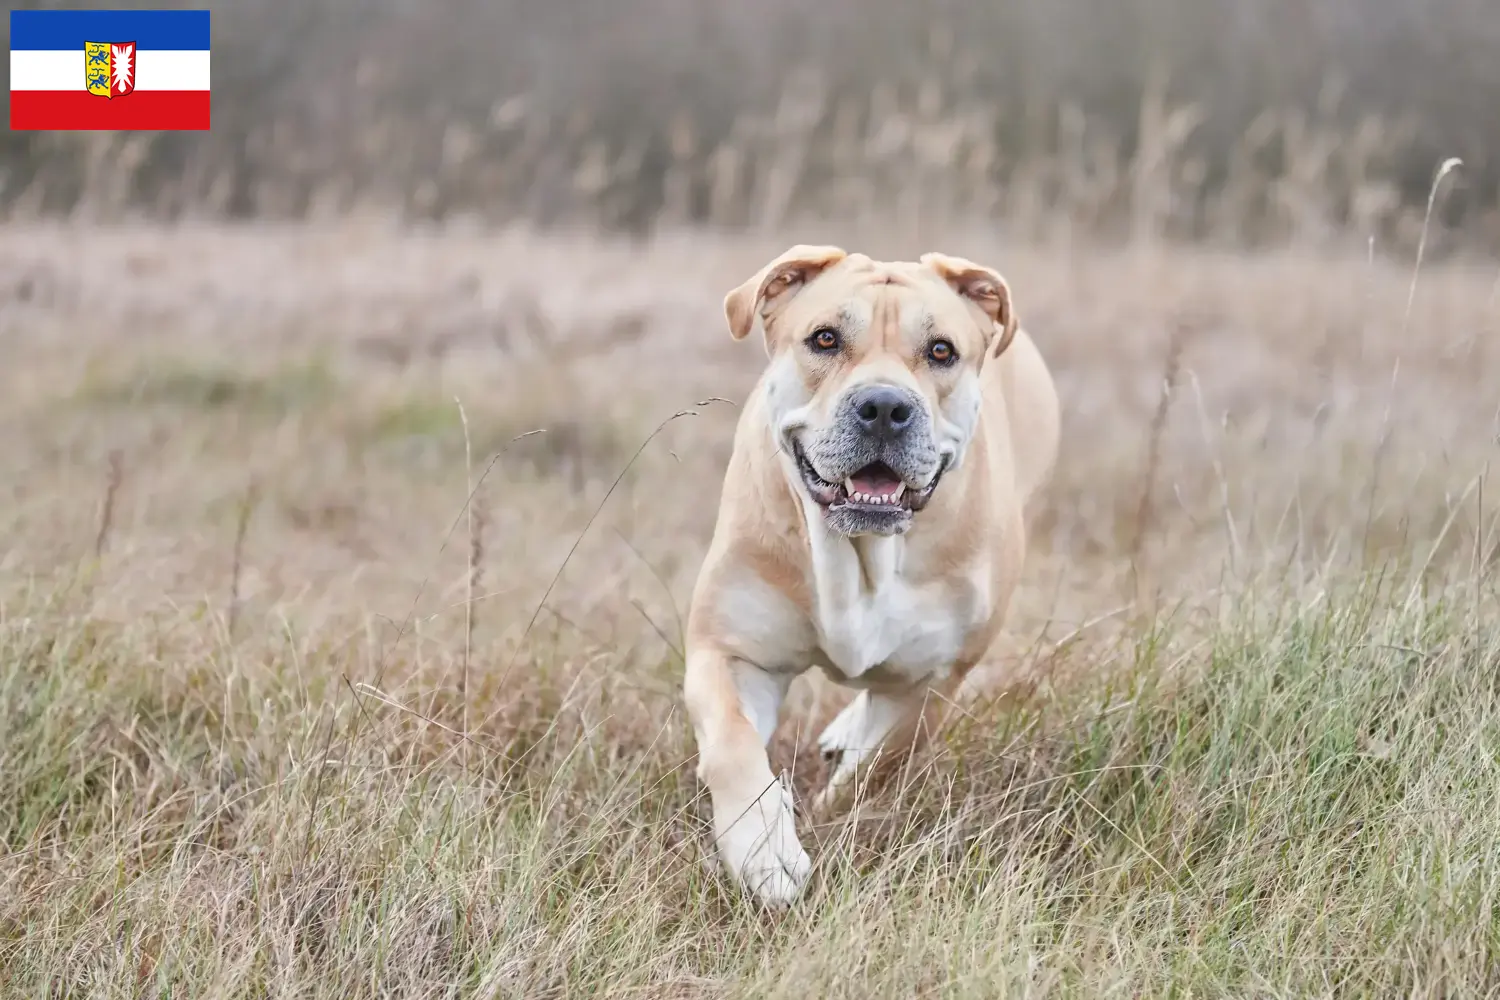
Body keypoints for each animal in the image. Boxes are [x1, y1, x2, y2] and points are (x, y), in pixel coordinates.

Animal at [687, 244, 1062, 905]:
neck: (859, 554)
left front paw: (826, 814)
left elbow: (873, 769)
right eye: (825, 338)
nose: (885, 407)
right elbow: (732, 743)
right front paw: (765, 849)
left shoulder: (932, 682)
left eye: (941, 351)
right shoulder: (728, 650)